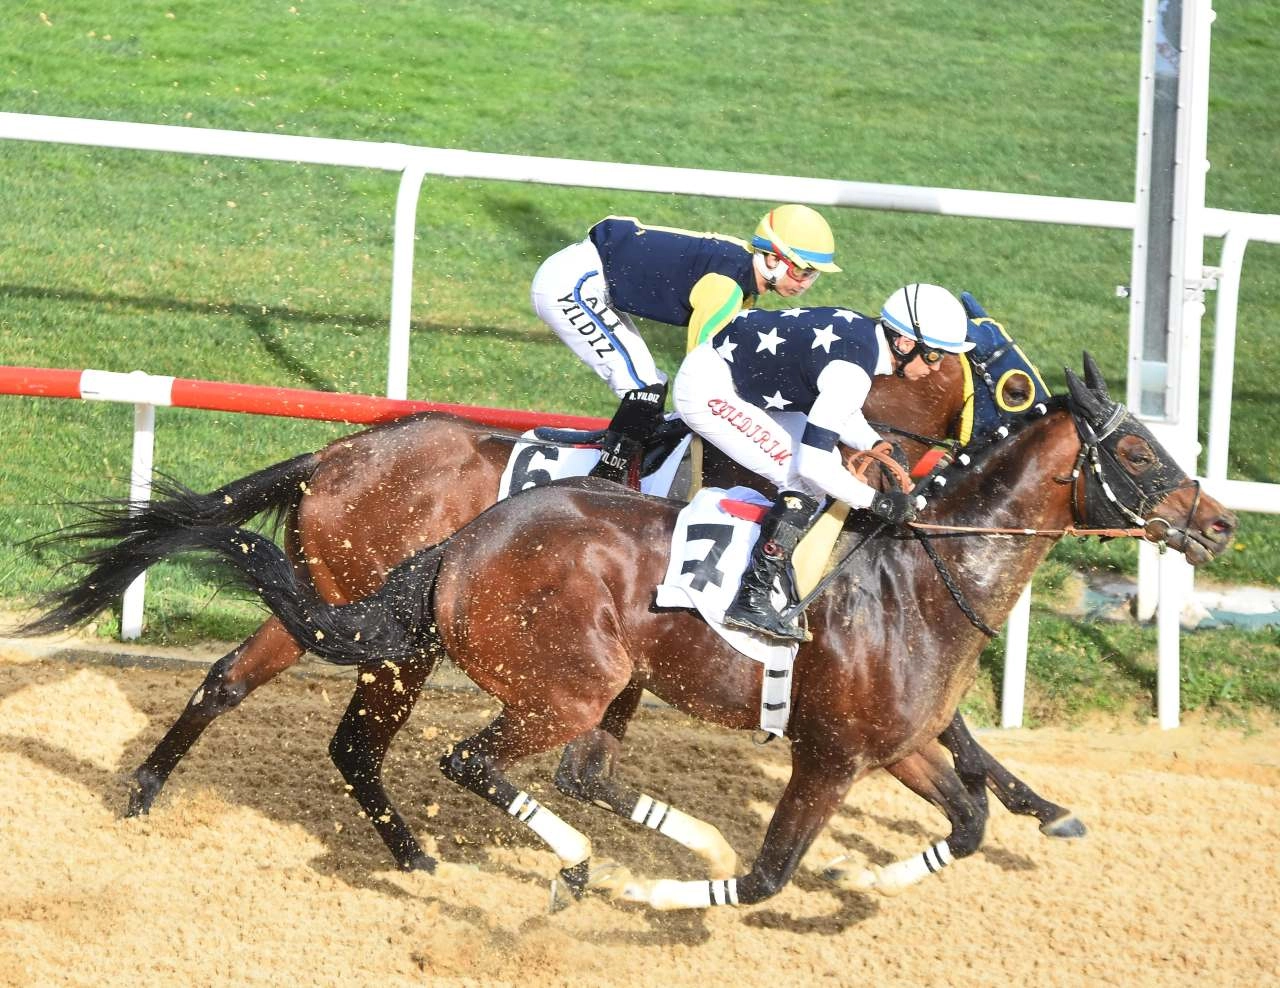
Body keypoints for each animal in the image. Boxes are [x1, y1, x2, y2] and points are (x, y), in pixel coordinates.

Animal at [20, 355, 1239, 911]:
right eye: (1137, 453)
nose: (1219, 521)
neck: (920, 569)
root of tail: (343, 450)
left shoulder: (893, 737)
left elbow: (971, 784)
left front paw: (1018, 815)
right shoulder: (836, 744)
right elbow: (790, 859)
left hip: (401, 633)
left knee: (294, 709)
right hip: (458, 654)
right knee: (372, 736)